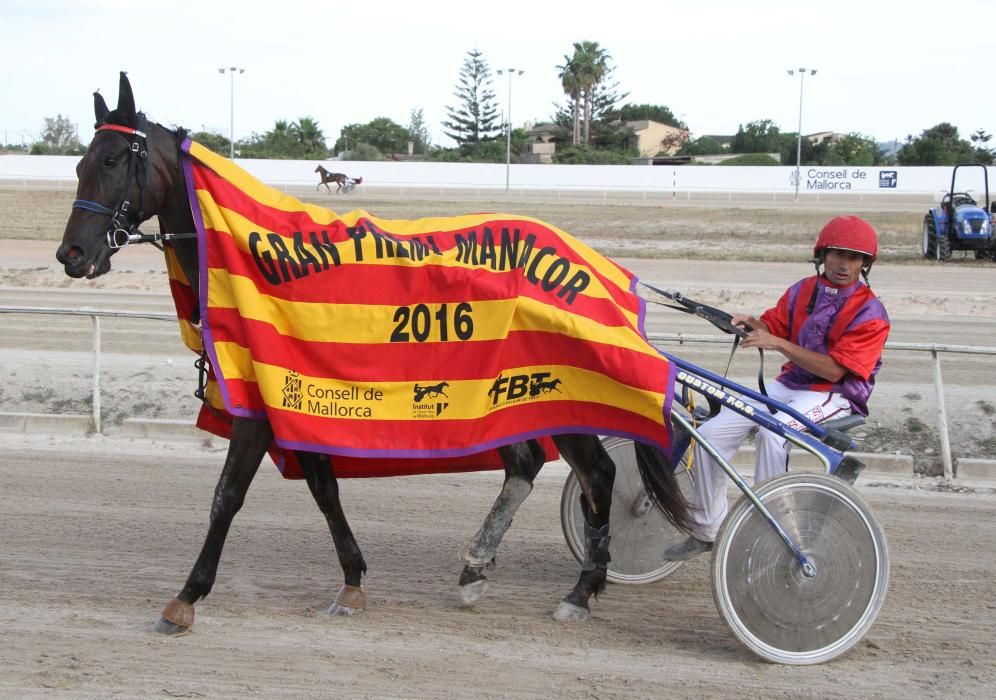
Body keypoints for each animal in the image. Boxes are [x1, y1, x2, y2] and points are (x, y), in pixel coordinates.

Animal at [54, 74, 692, 636]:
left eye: (113, 160)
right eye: (81, 163)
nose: (72, 254)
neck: (245, 254)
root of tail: (592, 264)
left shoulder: (261, 403)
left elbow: (226, 497)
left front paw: (185, 597)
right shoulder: (300, 397)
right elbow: (323, 488)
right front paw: (353, 581)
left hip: (562, 384)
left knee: (599, 474)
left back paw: (581, 590)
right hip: (509, 394)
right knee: (528, 463)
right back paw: (478, 569)